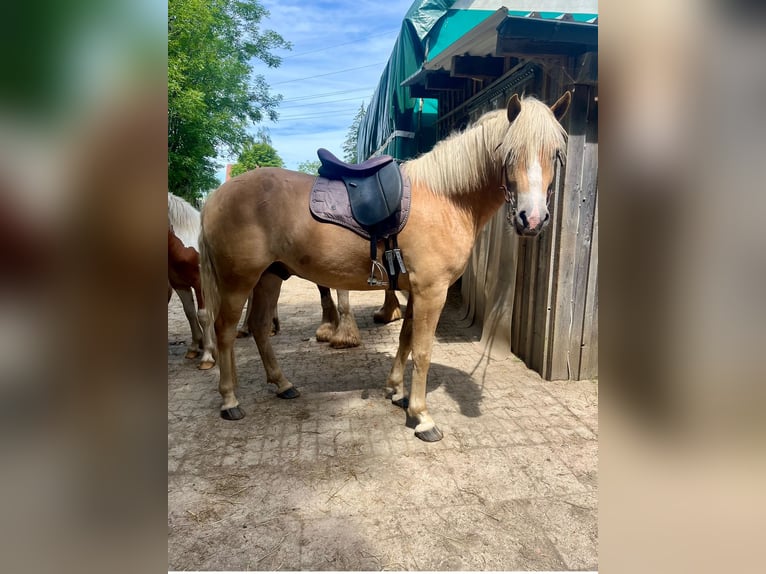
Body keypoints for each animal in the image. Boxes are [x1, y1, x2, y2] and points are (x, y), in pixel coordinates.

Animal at [169, 194, 216, 372]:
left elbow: (203, 315)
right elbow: (189, 313)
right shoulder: (179, 285)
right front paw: (194, 348)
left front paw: (208, 356)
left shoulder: (200, 284)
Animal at [201, 94, 572, 444]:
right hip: (238, 281)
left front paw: (396, 392)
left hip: (269, 277)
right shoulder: (431, 291)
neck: (446, 197)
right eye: (510, 152)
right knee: (225, 330)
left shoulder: (415, 290)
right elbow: (422, 351)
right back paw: (230, 400)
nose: (532, 219)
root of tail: (216, 196)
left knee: (259, 327)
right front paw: (422, 417)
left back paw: (282, 384)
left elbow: (405, 341)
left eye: (555, 153)